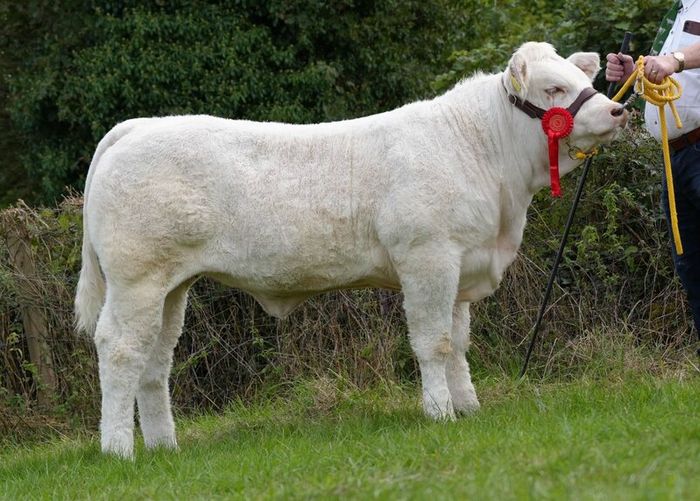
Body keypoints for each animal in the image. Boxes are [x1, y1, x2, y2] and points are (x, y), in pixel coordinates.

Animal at [75, 42, 628, 458]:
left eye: (580, 79)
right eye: (553, 89)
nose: (617, 109)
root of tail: (140, 125)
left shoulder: (461, 264)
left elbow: (458, 343)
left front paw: (468, 406)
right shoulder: (427, 257)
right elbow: (433, 343)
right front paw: (440, 413)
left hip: (173, 284)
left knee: (156, 359)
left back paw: (164, 446)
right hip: (136, 278)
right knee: (120, 348)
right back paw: (118, 450)